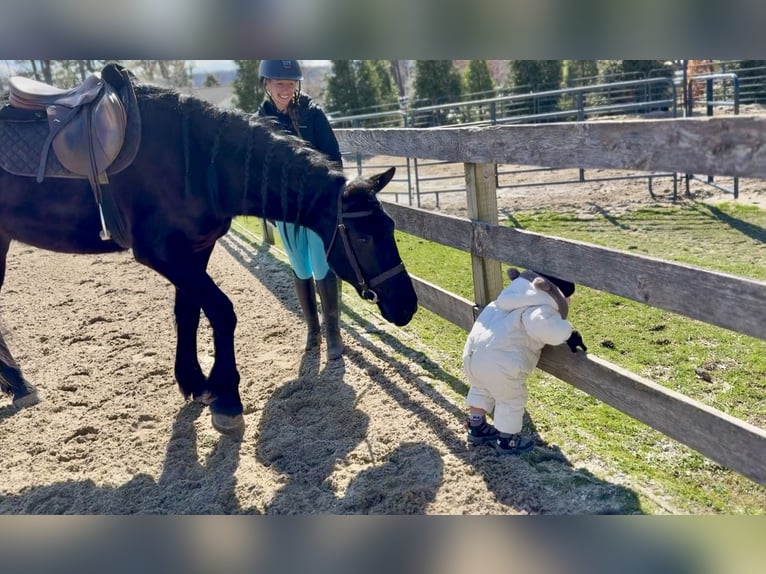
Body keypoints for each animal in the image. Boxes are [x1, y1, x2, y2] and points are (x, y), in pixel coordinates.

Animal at [0, 65, 418, 433]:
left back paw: (18, 384)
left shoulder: (194, 250)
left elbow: (188, 314)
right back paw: (18, 385)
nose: (407, 306)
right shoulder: (161, 253)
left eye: (390, 228)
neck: (196, 160)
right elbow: (221, 311)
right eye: (363, 237)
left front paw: (196, 384)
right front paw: (227, 399)